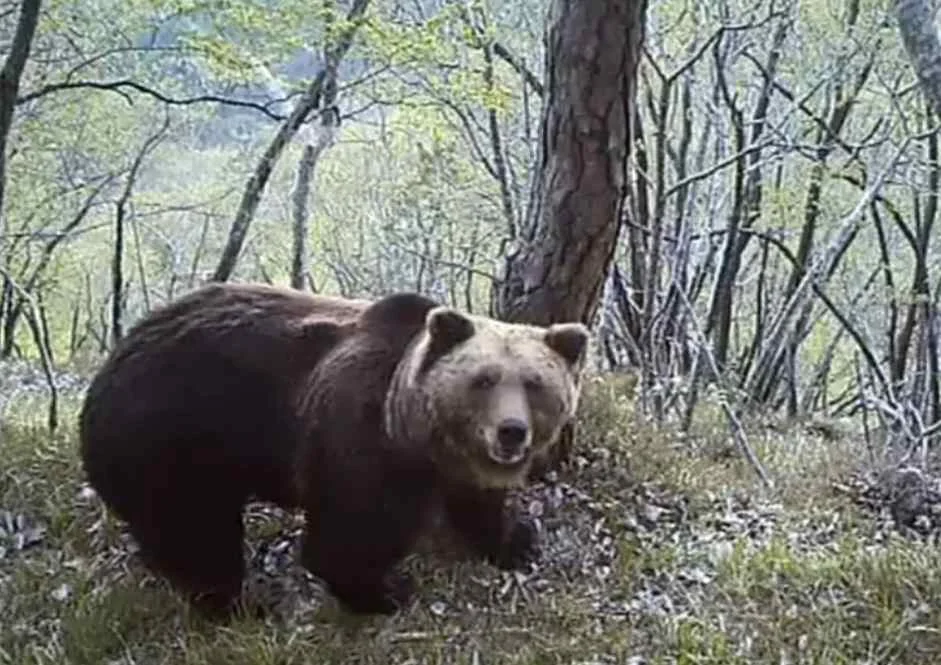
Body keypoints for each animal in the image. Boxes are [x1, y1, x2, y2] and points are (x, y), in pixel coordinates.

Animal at [293, 293, 590, 615]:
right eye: (484, 379)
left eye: (534, 383)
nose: (512, 430)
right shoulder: (355, 441)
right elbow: (344, 536)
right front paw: (382, 593)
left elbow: (479, 506)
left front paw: (517, 542)